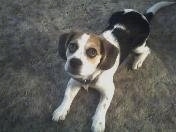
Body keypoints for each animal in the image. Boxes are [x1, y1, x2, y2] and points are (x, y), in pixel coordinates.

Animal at [52, 1, 175, 132]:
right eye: (72, 46)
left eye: (92, 52)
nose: (74, 62)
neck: (90, 76)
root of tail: (142, 16)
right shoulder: (73, 81)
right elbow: (66, 96)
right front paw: (61, 110)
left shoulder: (109, 90)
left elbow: (102, 106)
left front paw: (98, 122)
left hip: (137, 46)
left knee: (147, 50)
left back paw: (138, 61)